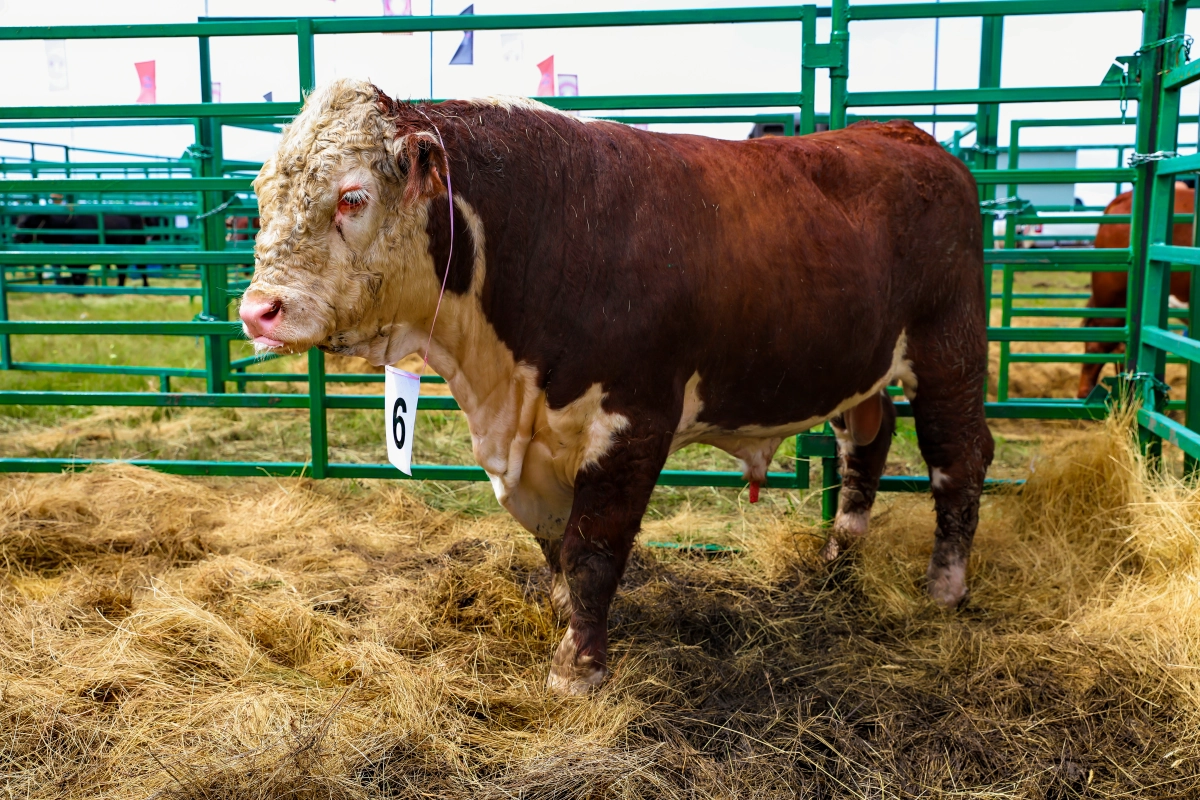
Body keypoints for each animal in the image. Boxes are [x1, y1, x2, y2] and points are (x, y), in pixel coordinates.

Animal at [14, 212, 150, 287]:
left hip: (139, 244)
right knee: (122, 271)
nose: (15, 236)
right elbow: (75, 276)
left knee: (141, 268)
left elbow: (79, 277)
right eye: (18, 219)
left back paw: (144, 285)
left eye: (29, 221)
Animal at [236, 79, 993, 695]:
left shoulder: (632, 424)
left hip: (950, 351)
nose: (257, 311)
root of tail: (902, 134)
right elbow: (553, 543)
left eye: (352, 197)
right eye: (263, 196)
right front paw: (564, 617)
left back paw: (945, 586)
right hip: (861, 363)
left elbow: (592, 549)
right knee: (867, 438)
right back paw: (841, 553)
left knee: (958, 457)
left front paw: (579, 668)